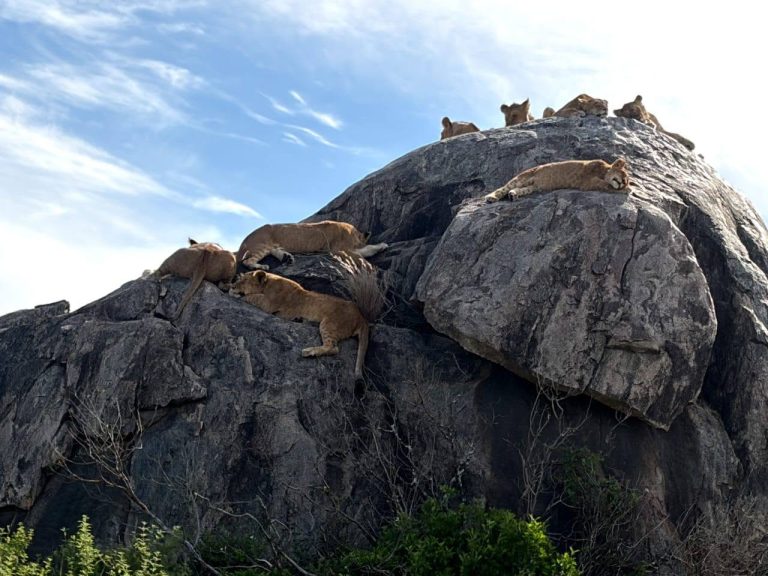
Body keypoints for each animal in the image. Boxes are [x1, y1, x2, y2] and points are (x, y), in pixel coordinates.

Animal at [230, 270, 370, 380]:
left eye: (243, 281)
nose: (232, 286)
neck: (268, 283)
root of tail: (361, 317)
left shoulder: (268, 304)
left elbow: (253, 297)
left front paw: (234, 294)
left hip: (329, 323)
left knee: (333, 347)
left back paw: (309, 351)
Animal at [237, 221, 388, 270]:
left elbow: (365, 250)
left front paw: (383, 246)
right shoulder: (339, 249)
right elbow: (362, 254)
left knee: (275, 252)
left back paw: (287, 258)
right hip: (262, 245)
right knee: (247, 261)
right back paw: (261, 266)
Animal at [484, 158, 629, 202]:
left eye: (626, 180)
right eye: (623, 175)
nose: (623, 183)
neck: (604, 171)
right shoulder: (588, 182)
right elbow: (605, 185)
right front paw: (628, 190)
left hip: (531, 187)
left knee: (518, 189)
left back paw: (513, 195)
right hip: (523, 177)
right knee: (503, 188)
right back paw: (491, 197)